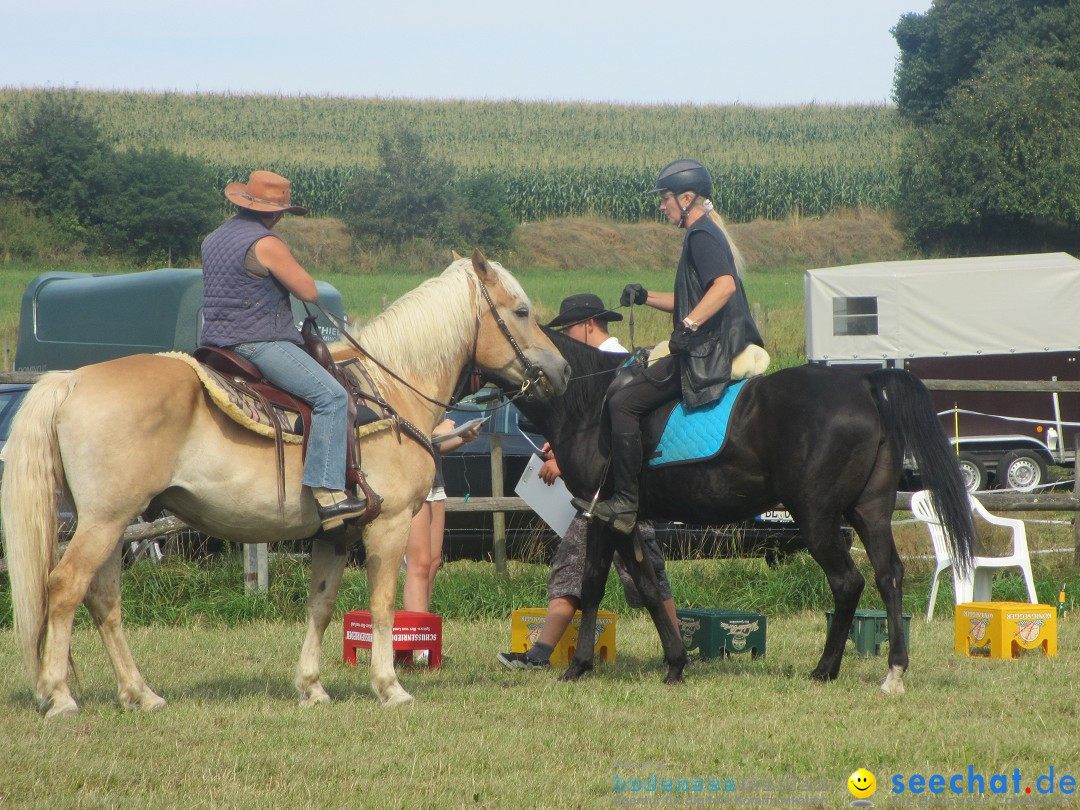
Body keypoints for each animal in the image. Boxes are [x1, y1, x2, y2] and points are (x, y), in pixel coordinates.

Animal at [2, 252, 574, 717]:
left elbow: (321, 605)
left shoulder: (335, 534)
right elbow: (384, 606)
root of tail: (71, 379)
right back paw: (59, 695)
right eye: (521, 311)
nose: (562, 370)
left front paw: (312, 687)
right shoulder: (389, 526)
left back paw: (140, 694)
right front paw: (389, 686)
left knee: (103, 600)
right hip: (105, 521)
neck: (390, 389)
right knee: (65, 588)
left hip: (112, 524)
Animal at [509, 330, 976, 699]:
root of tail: (862, 383)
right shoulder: (625, 521)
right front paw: (675, 663)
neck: (587, 402)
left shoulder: (603, 515)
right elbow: (649, 587)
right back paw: (893, 671)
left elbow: (592, 586)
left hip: (817, 518)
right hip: (869, 511)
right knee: (888, 576)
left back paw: (825, 669)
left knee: (847, 583)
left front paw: (578, 666)